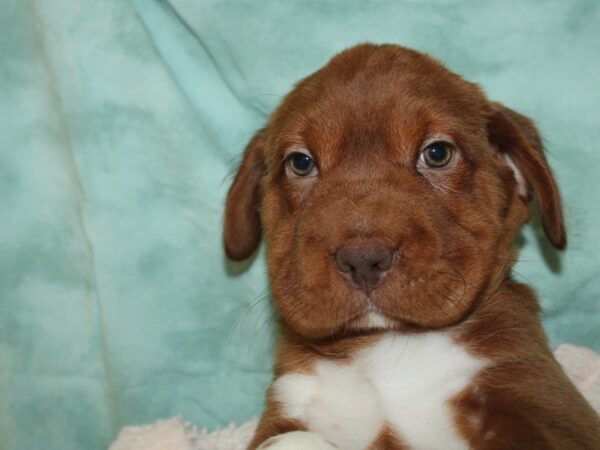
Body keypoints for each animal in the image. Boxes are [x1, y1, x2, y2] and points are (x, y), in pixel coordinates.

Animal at [221, 44, 600, 450]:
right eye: (301, 162)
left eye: (437, 153)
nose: (363, 260)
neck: (387, 348)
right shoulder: (286, 407)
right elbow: (295, 439)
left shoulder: (543, 403)